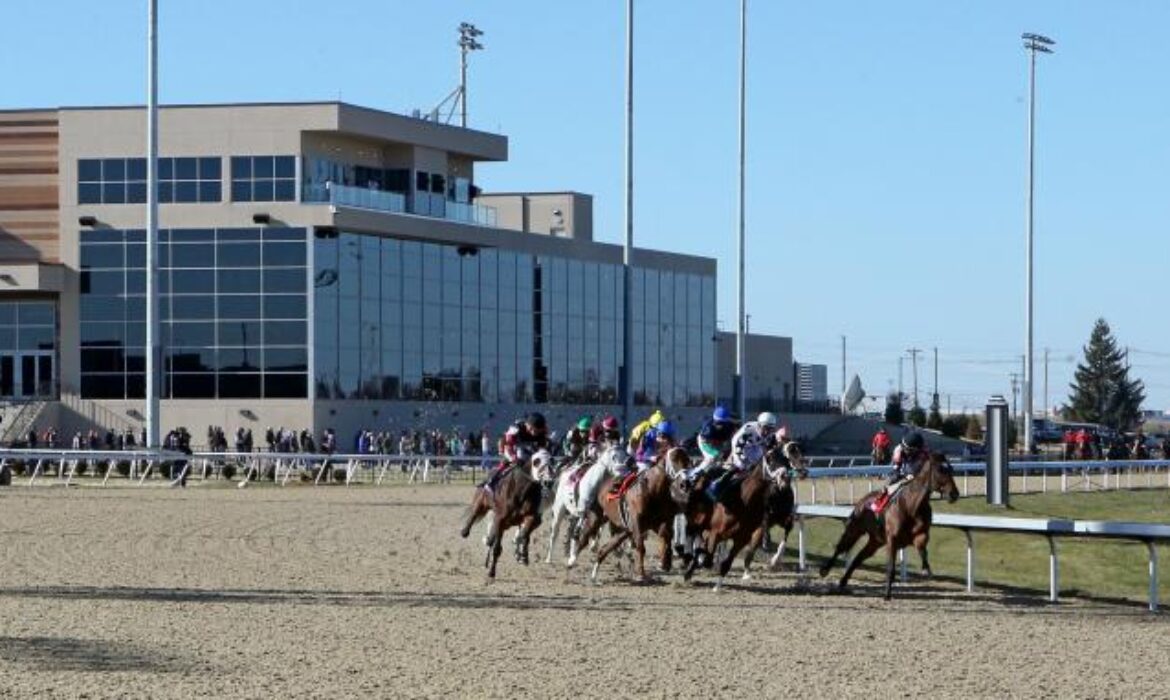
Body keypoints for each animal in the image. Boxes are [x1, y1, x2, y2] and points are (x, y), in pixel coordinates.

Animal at [570, 447, 687, 585]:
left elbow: (666, 538)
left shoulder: (660, 522)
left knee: (604, 549)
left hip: (623, 530)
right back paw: (572, 561)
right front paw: (641, 574)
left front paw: (665, 563)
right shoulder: (637, 524)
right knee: (583, 538)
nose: (685, 483)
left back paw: (594, 576)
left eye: (688, 460)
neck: (653, 491)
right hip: (596, 518)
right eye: (673, 459)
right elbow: (641, 547)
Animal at [683, 444, 804, 592]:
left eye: (786, 461)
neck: (744, 502)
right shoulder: (716, 533)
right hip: (696, 521)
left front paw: (717, 587)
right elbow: (708, 558)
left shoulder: (742, 538)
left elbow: (726, 563)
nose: (784, 478)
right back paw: (688, 562)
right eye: (770, 460)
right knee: (691, 536)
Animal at [814, 456, 959, 596]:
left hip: (876, 541)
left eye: (951, 469)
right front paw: (887, 594)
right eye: (940, 470)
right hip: (855, 529)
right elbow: (891, 568)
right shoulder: (892, 539)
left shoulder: (921, 534)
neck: (911, 507)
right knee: (841, 547)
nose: (954, 494)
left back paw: (843, 582)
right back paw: (825, 570)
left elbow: (922, 549)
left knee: (858, 557)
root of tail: (863, 501)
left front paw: (926, 569)